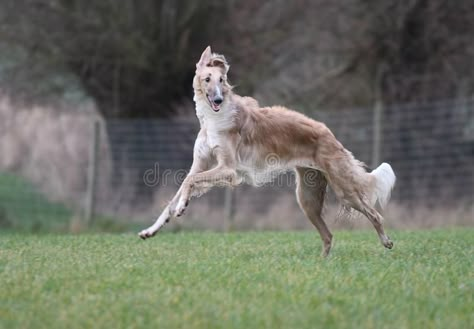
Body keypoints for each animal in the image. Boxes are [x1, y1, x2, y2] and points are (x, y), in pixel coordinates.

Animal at [138, 46, 396, 256]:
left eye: (222, 79)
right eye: (207, 79)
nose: (218, 99)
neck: (213, 119)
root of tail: (329, 134)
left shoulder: (228, 169)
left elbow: (189, 182)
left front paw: (182, 206)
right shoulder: (201, 163)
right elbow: (179, 190)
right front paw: (152, 229)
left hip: (344, 189)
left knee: (375, 215)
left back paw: (386, 242)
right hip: (307, 198)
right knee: (328, 235)